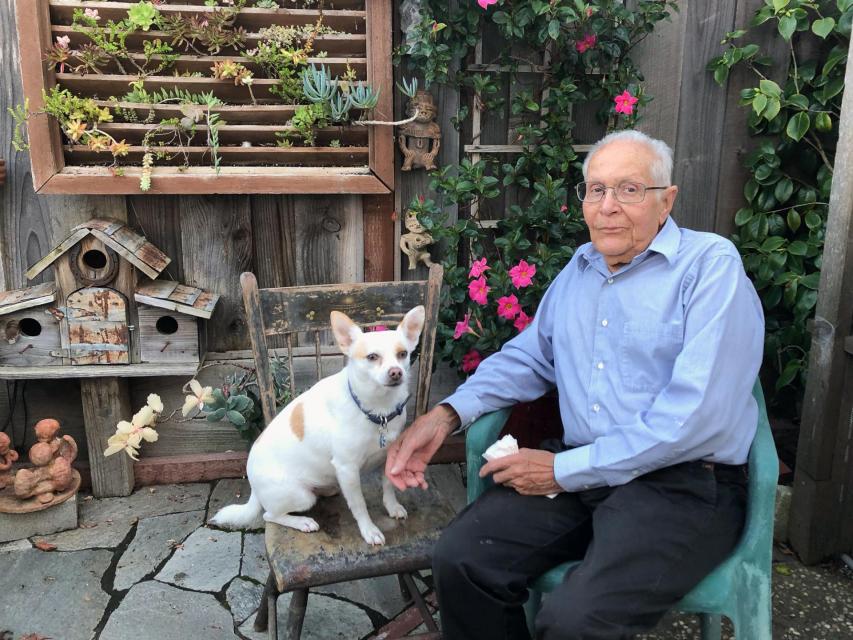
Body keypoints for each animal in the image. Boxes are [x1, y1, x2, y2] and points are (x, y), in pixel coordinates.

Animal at [210, 306, 422, 544]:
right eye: (372, 357)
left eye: (403, 354)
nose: (396, 372)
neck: (378, 410)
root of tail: (253, 487)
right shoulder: (347, 469)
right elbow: (359, 504)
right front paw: (369, 530)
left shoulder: (390, 455)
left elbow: (388, 485)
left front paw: (392, 507)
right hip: (301, 496)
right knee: (269, 515)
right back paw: (302, 522)